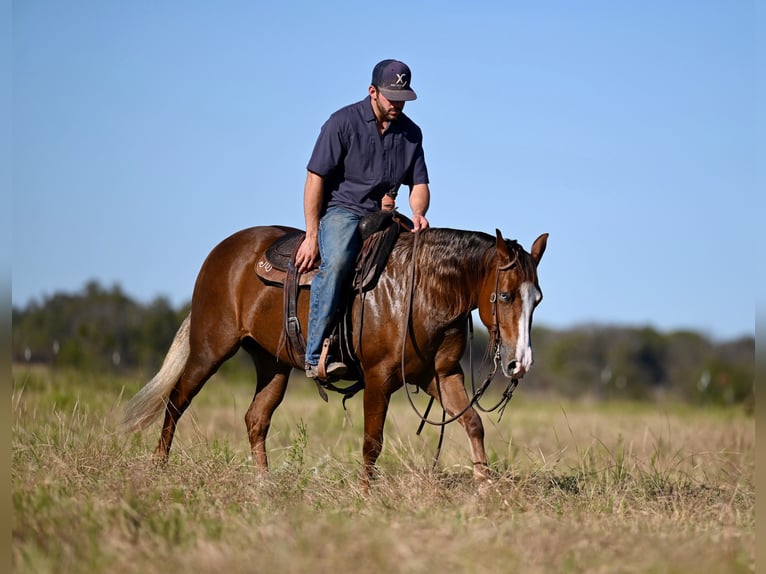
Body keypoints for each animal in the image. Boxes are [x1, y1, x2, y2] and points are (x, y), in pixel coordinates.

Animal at [123, 227, 548, 488]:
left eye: (537, 299)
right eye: (506, 295)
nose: (520, 364)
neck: (421, 292)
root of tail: (222, 252)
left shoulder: (440, 376)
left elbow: (473, 424)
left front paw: (485, 488)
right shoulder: (380, 378)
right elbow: (372, 442)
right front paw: (365, 495)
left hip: (273, 364)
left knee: (256, 419)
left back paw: (264, 484)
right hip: (210, 348)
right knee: (176, 401)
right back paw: (158, 468)